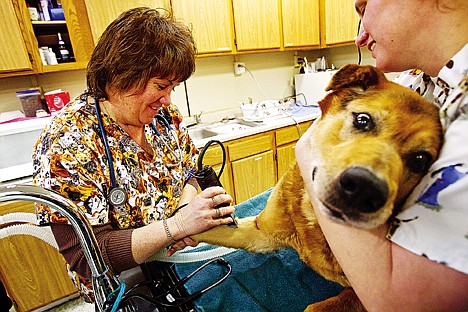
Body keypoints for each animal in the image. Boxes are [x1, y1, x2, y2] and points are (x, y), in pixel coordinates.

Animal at [193, 64, 442, 310]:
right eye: (363, 120)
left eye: (420, 160)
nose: (365, 189)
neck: (314, 219)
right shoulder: (260, 231)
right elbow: (210, 230)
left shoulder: (359, 297)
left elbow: (312, 307)